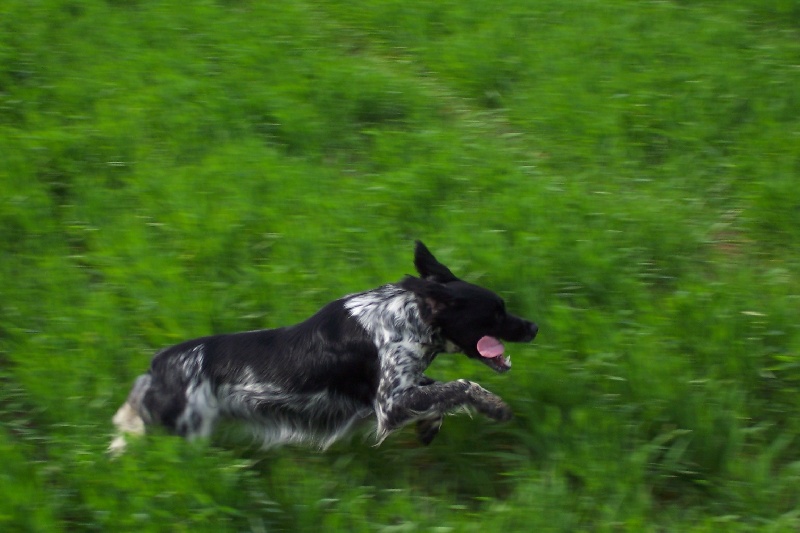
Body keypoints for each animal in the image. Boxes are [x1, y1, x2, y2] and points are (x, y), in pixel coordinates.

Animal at [110, 241, 537, 454]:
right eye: (496, 312)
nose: (534, 327)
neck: (404, 317)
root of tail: (156, 369)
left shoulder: (401, 389)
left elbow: (440, 391)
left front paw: (431, 424)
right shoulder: (388, 404)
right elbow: (461, 385)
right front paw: (495, 407)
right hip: (182, 434)